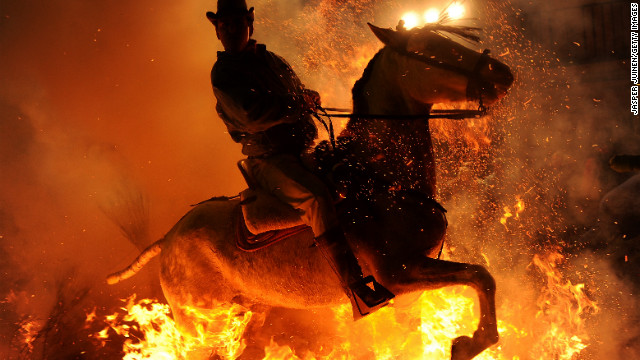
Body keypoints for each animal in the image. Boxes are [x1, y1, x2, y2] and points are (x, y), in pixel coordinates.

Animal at [107, 23, 512, 360]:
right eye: (431, 48)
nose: (502, 74)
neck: (380, 177)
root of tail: (168, 238)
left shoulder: (415, 280)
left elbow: (478, 280)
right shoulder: (400, 273)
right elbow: (480, 276)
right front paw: (470, 343)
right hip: (200, 326)